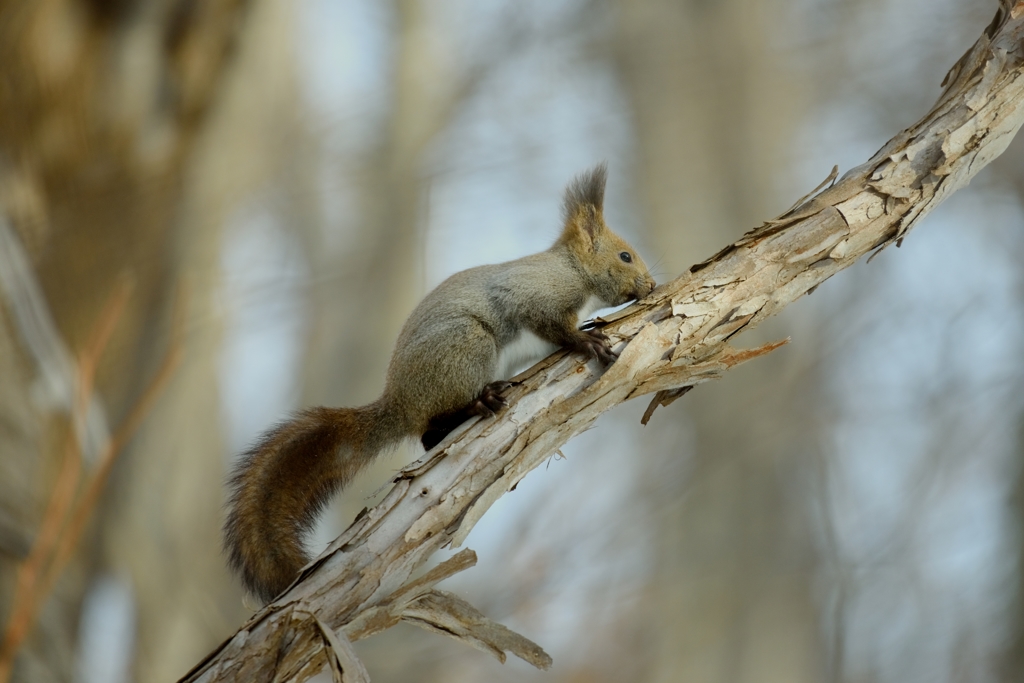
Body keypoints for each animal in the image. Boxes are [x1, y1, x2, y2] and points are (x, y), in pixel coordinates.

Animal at [223, 163, 655, 602]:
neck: (573, 271)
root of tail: (399, 404)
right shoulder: (537, 295)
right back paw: (479, 402)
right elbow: (552, 324)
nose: (651, 285)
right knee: (433, 424)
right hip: (467, 346)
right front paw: (588, 341)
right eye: (625, 255)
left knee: (429, 437)